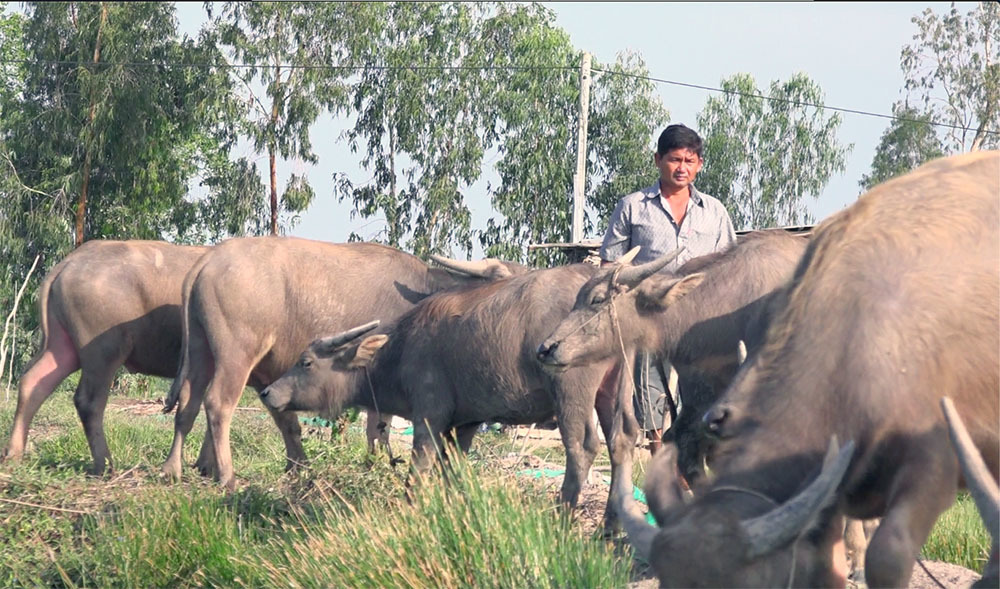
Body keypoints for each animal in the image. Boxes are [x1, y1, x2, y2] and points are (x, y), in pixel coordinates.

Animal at [2, 239, 207, 474]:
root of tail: (70, 261)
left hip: (62, 345)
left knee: (34, 381)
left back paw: (13, 454)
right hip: (104, 350)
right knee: (88, 402)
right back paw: (105, 464)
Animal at [161, 237, 524, 490]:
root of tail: (210, 258)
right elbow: (378, 426)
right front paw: (376, 464)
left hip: (201, 350)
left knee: (188, 403)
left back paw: (175, 468)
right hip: (237, 353)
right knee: (218, 404)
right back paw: (227, 476)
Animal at [258, 262, 632, 528]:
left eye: (305, 362)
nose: (267, 392)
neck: (400, 350)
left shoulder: (429, 418)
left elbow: (420, 468)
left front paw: (410, 512)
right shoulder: (463, 425)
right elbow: (452, 470)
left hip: (571, 392)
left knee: (582, 447)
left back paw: (563, 519)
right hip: (617, 388)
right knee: (621, 442)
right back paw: (611, 526)